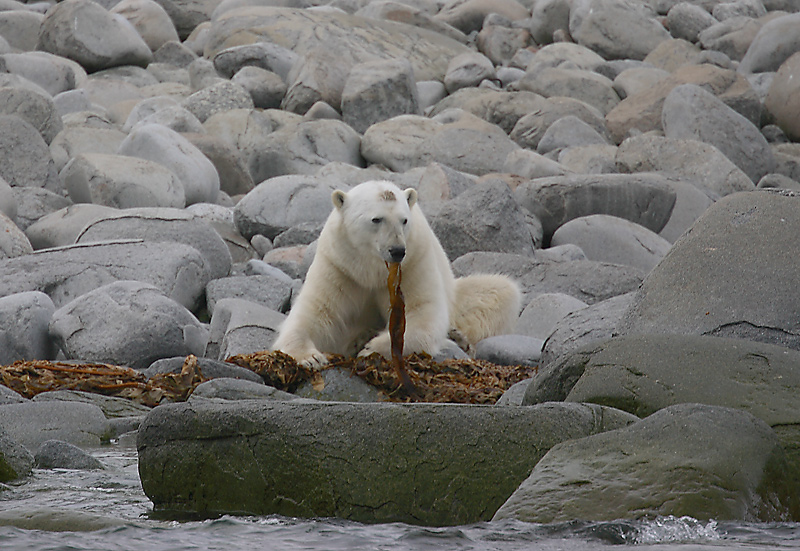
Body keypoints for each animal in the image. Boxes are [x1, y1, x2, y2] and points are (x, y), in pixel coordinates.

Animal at [272, 181, 520, 368]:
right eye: (376, 219)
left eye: (404, 220)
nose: (398, 250)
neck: (370, 270)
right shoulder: (339, 267)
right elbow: (313, 314)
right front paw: (310, 358)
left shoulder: (413, 262)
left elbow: (420, 314)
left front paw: (371, 349)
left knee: (501, 292)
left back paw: (460, 338)